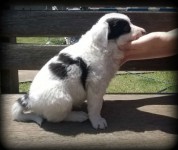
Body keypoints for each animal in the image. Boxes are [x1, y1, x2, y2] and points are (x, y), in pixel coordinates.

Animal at [11, 12, 145, 129]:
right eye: (126, 27)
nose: (144, 31)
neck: (101, 47)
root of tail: (29, 99)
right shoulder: (95, 84)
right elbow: (95, 105)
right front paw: (97, 120)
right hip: (62, 100)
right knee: (56, 118)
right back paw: (78, 116)